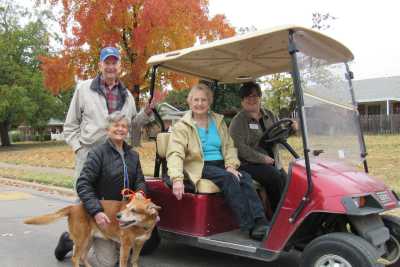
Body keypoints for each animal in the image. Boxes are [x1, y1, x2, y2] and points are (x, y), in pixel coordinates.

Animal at [23, 195, 159, 267]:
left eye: (134, 210)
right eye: (127, 207)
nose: (117, 216)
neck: (142, 226)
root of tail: (73, 207)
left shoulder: (139, 245)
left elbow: (135, 260)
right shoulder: (126, 246)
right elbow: (124, 262)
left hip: (88, 240)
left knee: (82, 257)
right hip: (82, 239)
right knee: (75, 258)